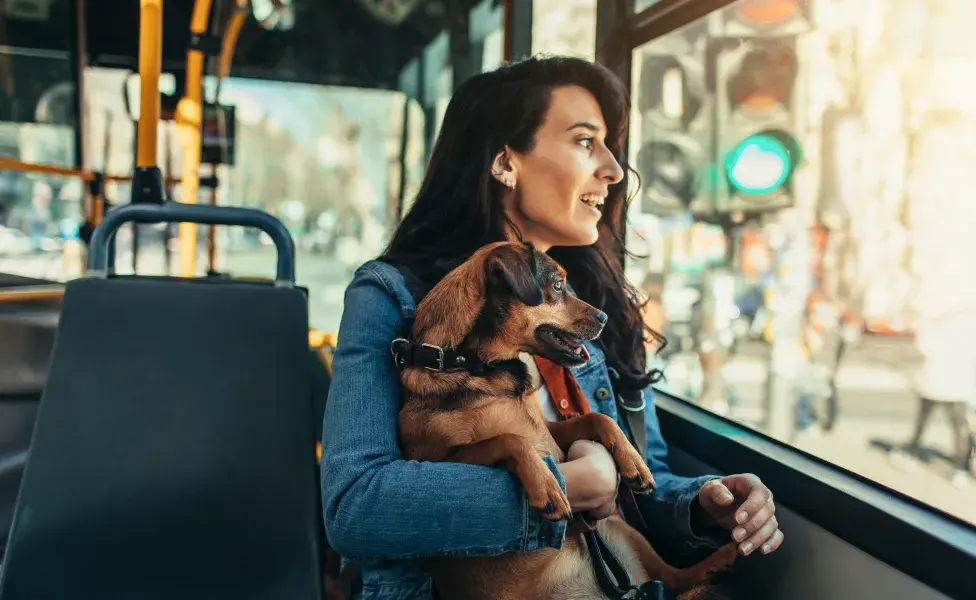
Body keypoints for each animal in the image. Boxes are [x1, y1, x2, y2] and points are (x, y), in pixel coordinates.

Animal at [392, 241, 736, 596]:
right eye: (558, 286)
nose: (604, 317)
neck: (473, 364)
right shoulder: (444, 459)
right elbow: (510, 439)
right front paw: (547, 485)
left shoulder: (550, 428)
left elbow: (598, 418)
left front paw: (634, 463)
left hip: (621, 530)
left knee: (677, 576)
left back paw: (723, 557)